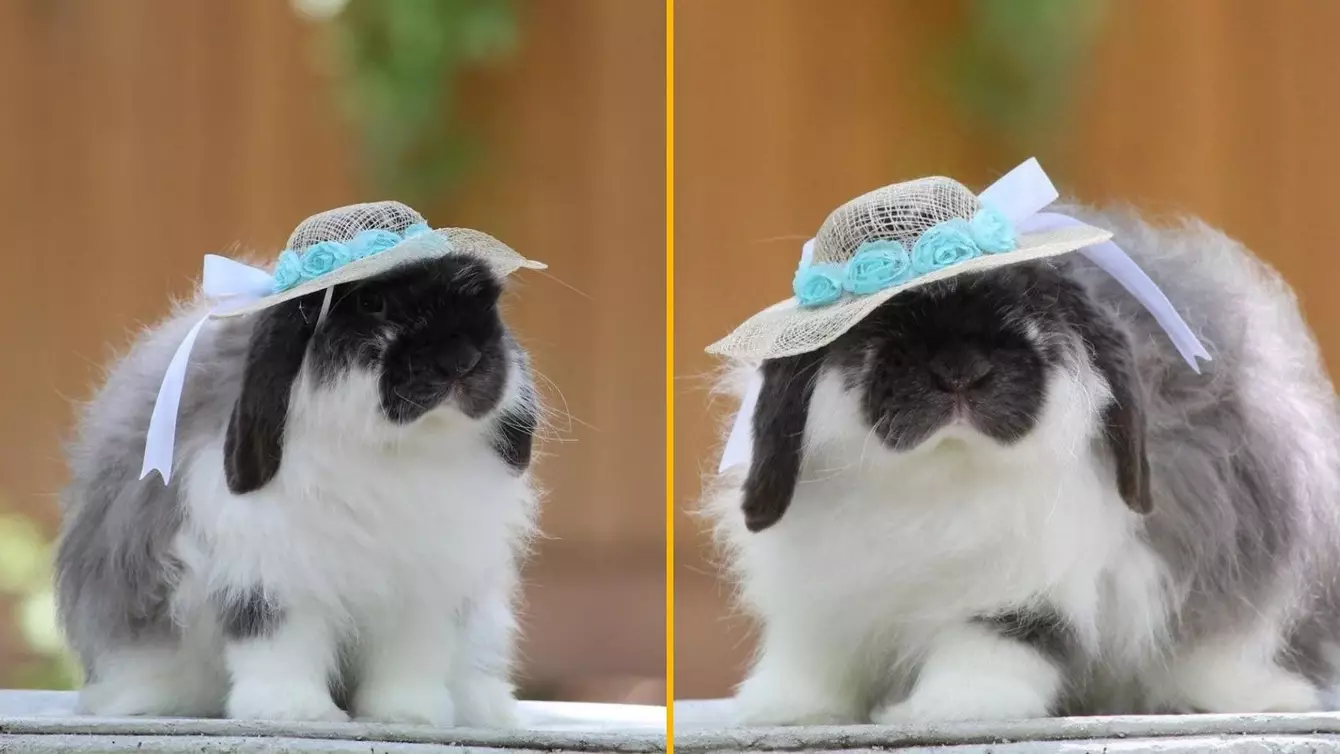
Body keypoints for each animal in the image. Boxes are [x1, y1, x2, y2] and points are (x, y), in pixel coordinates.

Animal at [56, 241, 540, 726]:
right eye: (372, 302)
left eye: (487, 303)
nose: (462, 360)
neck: (394, 449)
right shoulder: (269, 573)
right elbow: (279, 642)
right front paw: (292, 710)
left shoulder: (425, 588)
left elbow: (412, 656)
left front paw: (410, 714)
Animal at [703, 205, 1340, 725]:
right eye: (881, 326)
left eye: (1029, 310)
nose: (959, 370)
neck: (940, 475)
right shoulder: (821, 602)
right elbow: (815, 658)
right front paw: (787, 708)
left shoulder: (1027, 589)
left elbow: (992, 645)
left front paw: (947, 708)